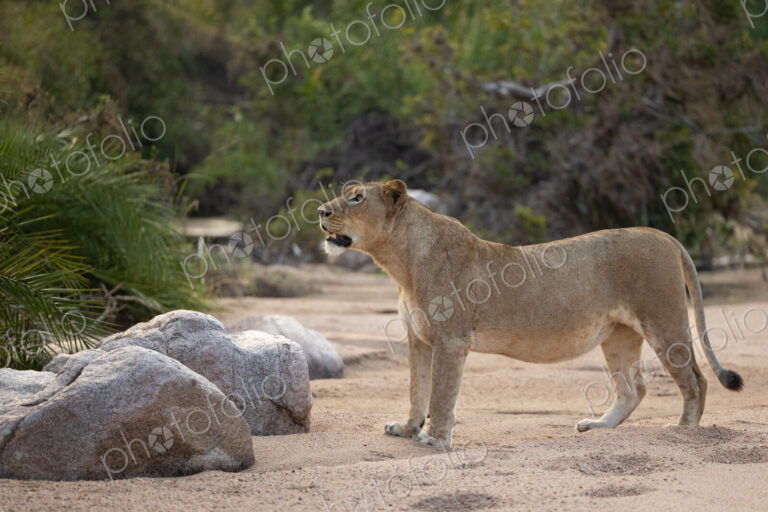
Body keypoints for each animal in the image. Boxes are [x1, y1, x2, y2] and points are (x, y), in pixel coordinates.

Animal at [318, 179, 744, 448]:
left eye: (356, 198)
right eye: (344, 195)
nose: (320, 211)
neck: (401, 262)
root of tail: (666, 236)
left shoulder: (451, 340)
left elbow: (440, 393)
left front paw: (435, 439)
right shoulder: (419, 338)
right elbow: (416, 390)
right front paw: (407, 429)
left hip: (664, 322)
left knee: (695, 380)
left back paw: (683, 432)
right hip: (618, 335)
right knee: (633, 388)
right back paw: (599, 426)